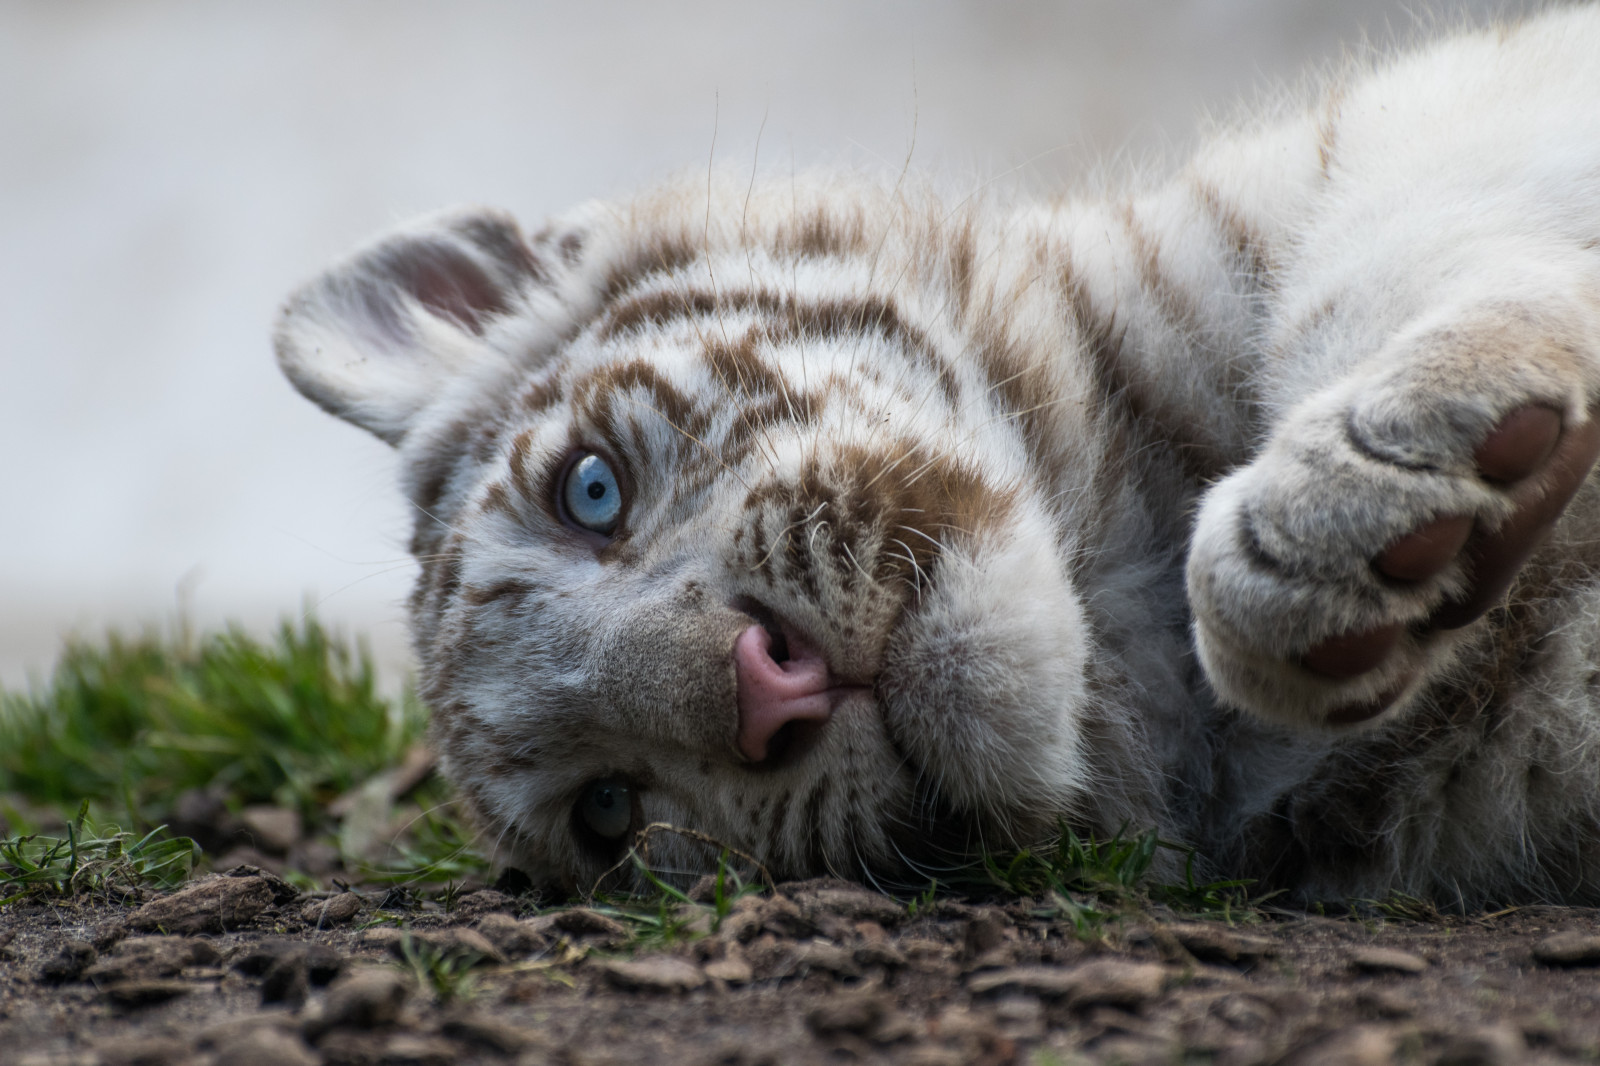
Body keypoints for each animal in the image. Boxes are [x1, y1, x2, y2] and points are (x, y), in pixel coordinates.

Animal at [275, 6, 1600, 905]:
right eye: (609, 811)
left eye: (590, 491)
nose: (770, 687)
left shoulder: (1426, 127)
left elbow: (1368, 258)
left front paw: (1340, 512)